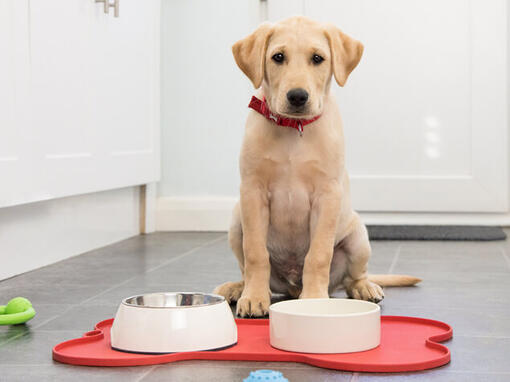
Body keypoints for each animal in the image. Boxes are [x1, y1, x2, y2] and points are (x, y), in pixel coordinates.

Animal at [214, 16, 418, 318]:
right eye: (278, 57)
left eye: (318, 58)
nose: (297, 96)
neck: (294, 129)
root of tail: (291, 286)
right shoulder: (252, 192)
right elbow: (256, 254)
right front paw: (254, 297)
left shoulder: (327, 195)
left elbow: (319, 255)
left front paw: (313, 300)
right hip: (236, 223)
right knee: (246, 267)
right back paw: (238, 288)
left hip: (358, 237)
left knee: (353, 276)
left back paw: (364, 287)